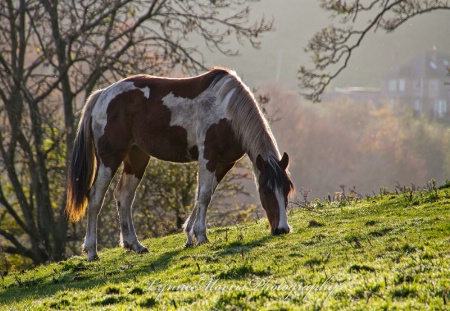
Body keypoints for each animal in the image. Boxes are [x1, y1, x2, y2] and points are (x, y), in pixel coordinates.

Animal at [65, 67, 294, 262]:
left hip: (137, 157)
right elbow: (204, 195)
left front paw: (189, 235)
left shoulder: (224, 162)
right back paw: (92, 251)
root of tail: (101, 95)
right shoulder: (208, 156)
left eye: (287, 190)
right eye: (265, 191)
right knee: (96, 198)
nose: (282, 229)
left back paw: (135, 245)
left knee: (124, 196)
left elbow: (204, 194)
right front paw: (201, 236)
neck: (226, 110)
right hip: (110, 158)